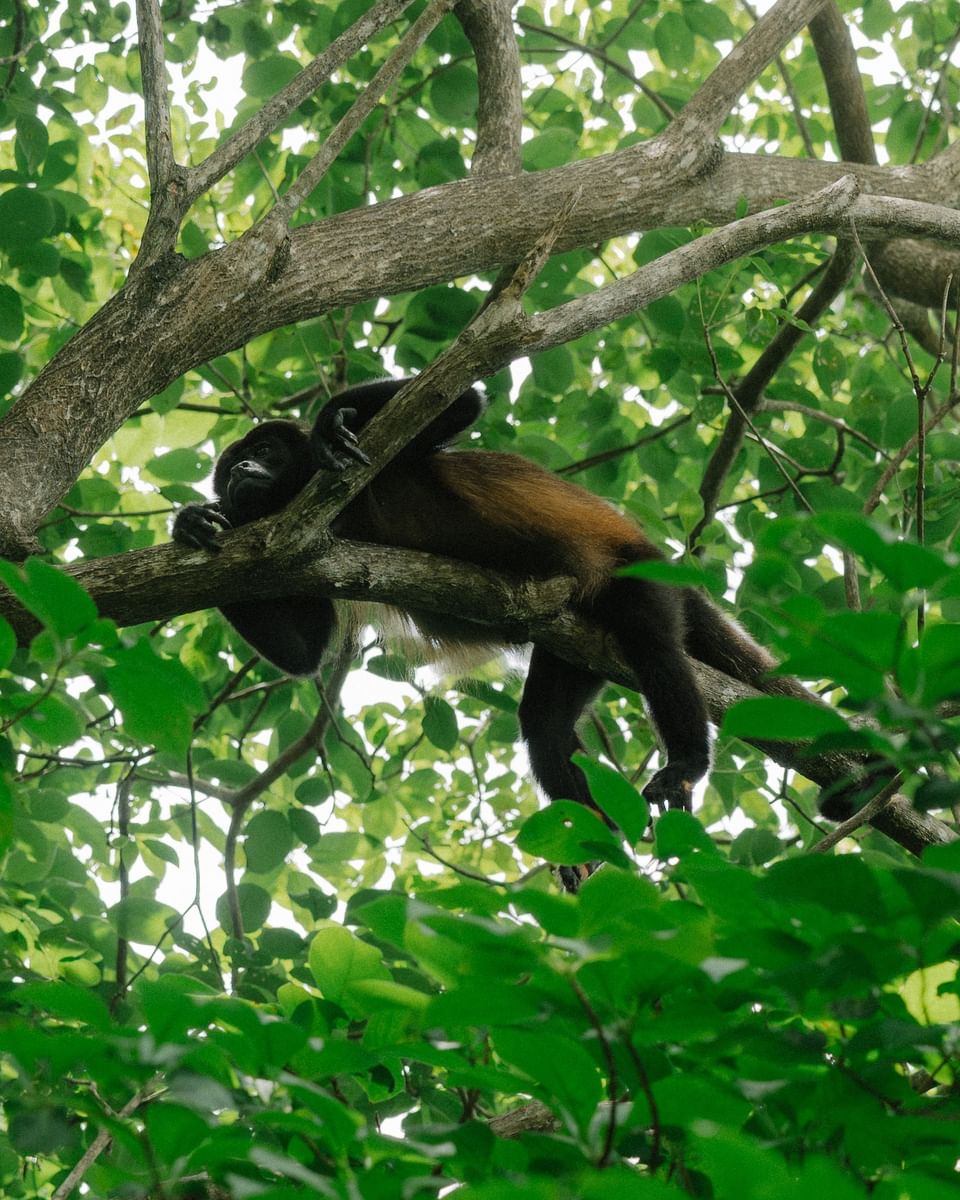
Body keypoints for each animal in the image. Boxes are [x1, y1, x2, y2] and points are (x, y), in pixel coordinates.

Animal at [173, 377, 872, 852]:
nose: (240, 469)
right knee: (543, 724)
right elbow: (304, 652)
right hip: (574, 649)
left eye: (265, 449)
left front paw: (323, 428)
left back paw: (684, 764)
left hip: (638, 582)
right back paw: (596, 841)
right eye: (228, 468)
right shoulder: (295, 552)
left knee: (652, 644)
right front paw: (192, 523)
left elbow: (459, 400)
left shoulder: (388, 459)